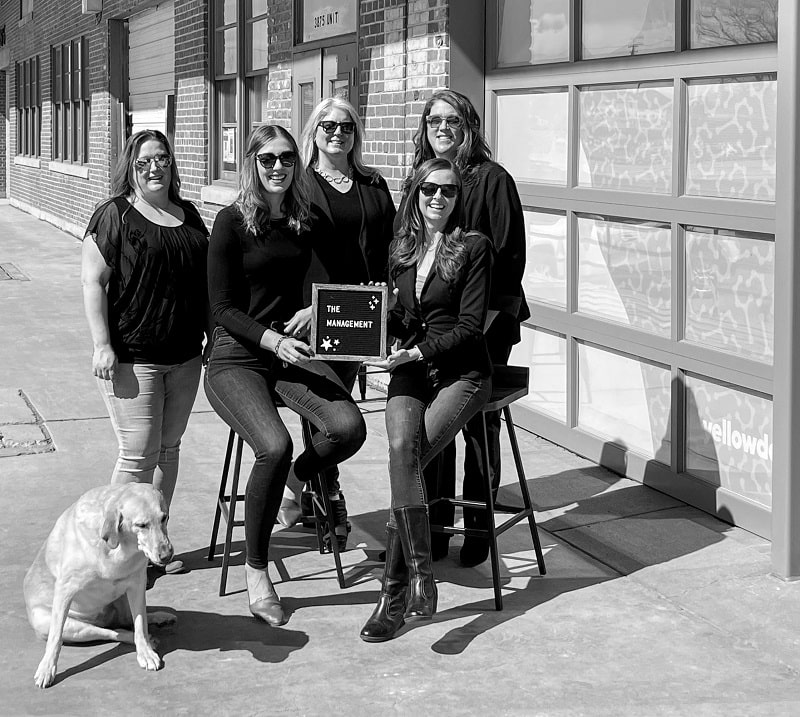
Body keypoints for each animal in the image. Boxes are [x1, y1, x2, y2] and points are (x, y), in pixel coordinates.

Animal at [24, 482, 176, 688]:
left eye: (164, 518)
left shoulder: (137, 584)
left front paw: (145, 652)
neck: (119, 547)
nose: (167, 555)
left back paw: (159, 618)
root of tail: (103, 620)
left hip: (123, 599)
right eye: (141, 525)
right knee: (112, 632)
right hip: (58, 624)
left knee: (128, 621)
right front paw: (47, 668)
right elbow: (55, 639)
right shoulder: (65, 589)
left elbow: (140, 624)